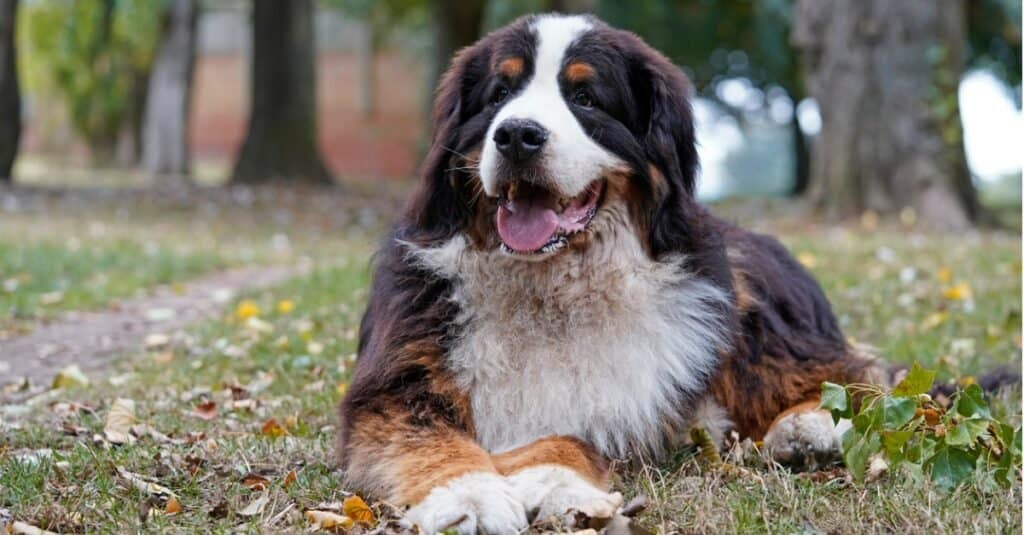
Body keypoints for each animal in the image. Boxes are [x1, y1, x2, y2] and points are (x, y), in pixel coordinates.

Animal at [337, 12, 888, 532]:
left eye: (585, 97)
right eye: (500, 93)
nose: (517, 135)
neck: (548, 284)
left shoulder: (624, 394)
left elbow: (571, 431)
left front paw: (553, 478)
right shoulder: (396, 385)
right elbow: (427, 437)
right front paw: (468, 496)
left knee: (853, 369)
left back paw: (811, 424)